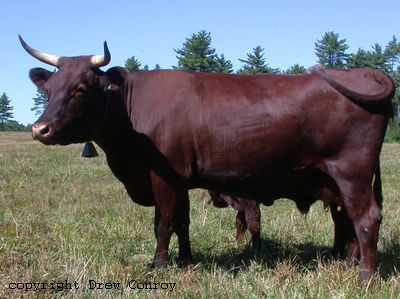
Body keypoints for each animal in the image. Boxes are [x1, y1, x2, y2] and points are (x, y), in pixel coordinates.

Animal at [19, 35, 394, 282]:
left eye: (81, 88)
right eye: (49, 89)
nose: (40, 128)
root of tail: (361, 72)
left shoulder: (162, 176)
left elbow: (163, 222)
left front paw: (159, 265)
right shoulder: (180, 180)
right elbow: (181, 221)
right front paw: (186, 259)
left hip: (351, 172)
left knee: (366, 218)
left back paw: (364, 276)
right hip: (337, 181)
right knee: (348, 220)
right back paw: (347, 263)